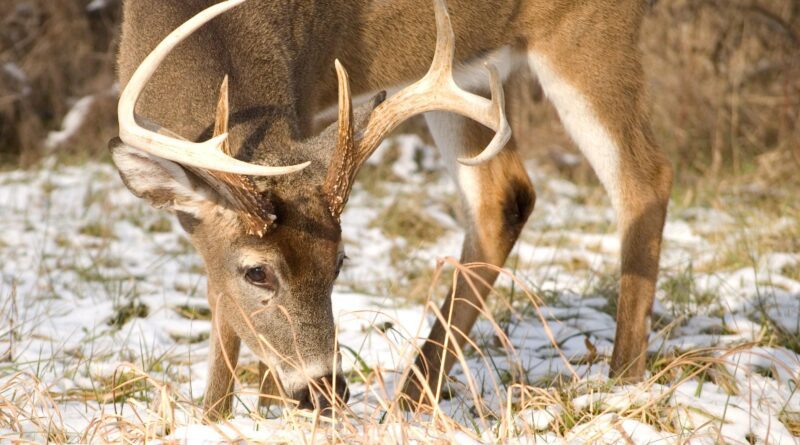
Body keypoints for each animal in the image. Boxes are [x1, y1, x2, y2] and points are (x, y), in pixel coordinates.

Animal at [110, 0, 672, 420]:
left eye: (339, 264)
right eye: (256, 272)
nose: (325, 391)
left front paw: (251, 411)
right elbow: (219, 296)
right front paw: (220, 414)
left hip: (589, 34)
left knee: (645, 178)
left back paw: (622, 381)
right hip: (466, 76)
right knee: (504, 197)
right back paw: (412, 398)